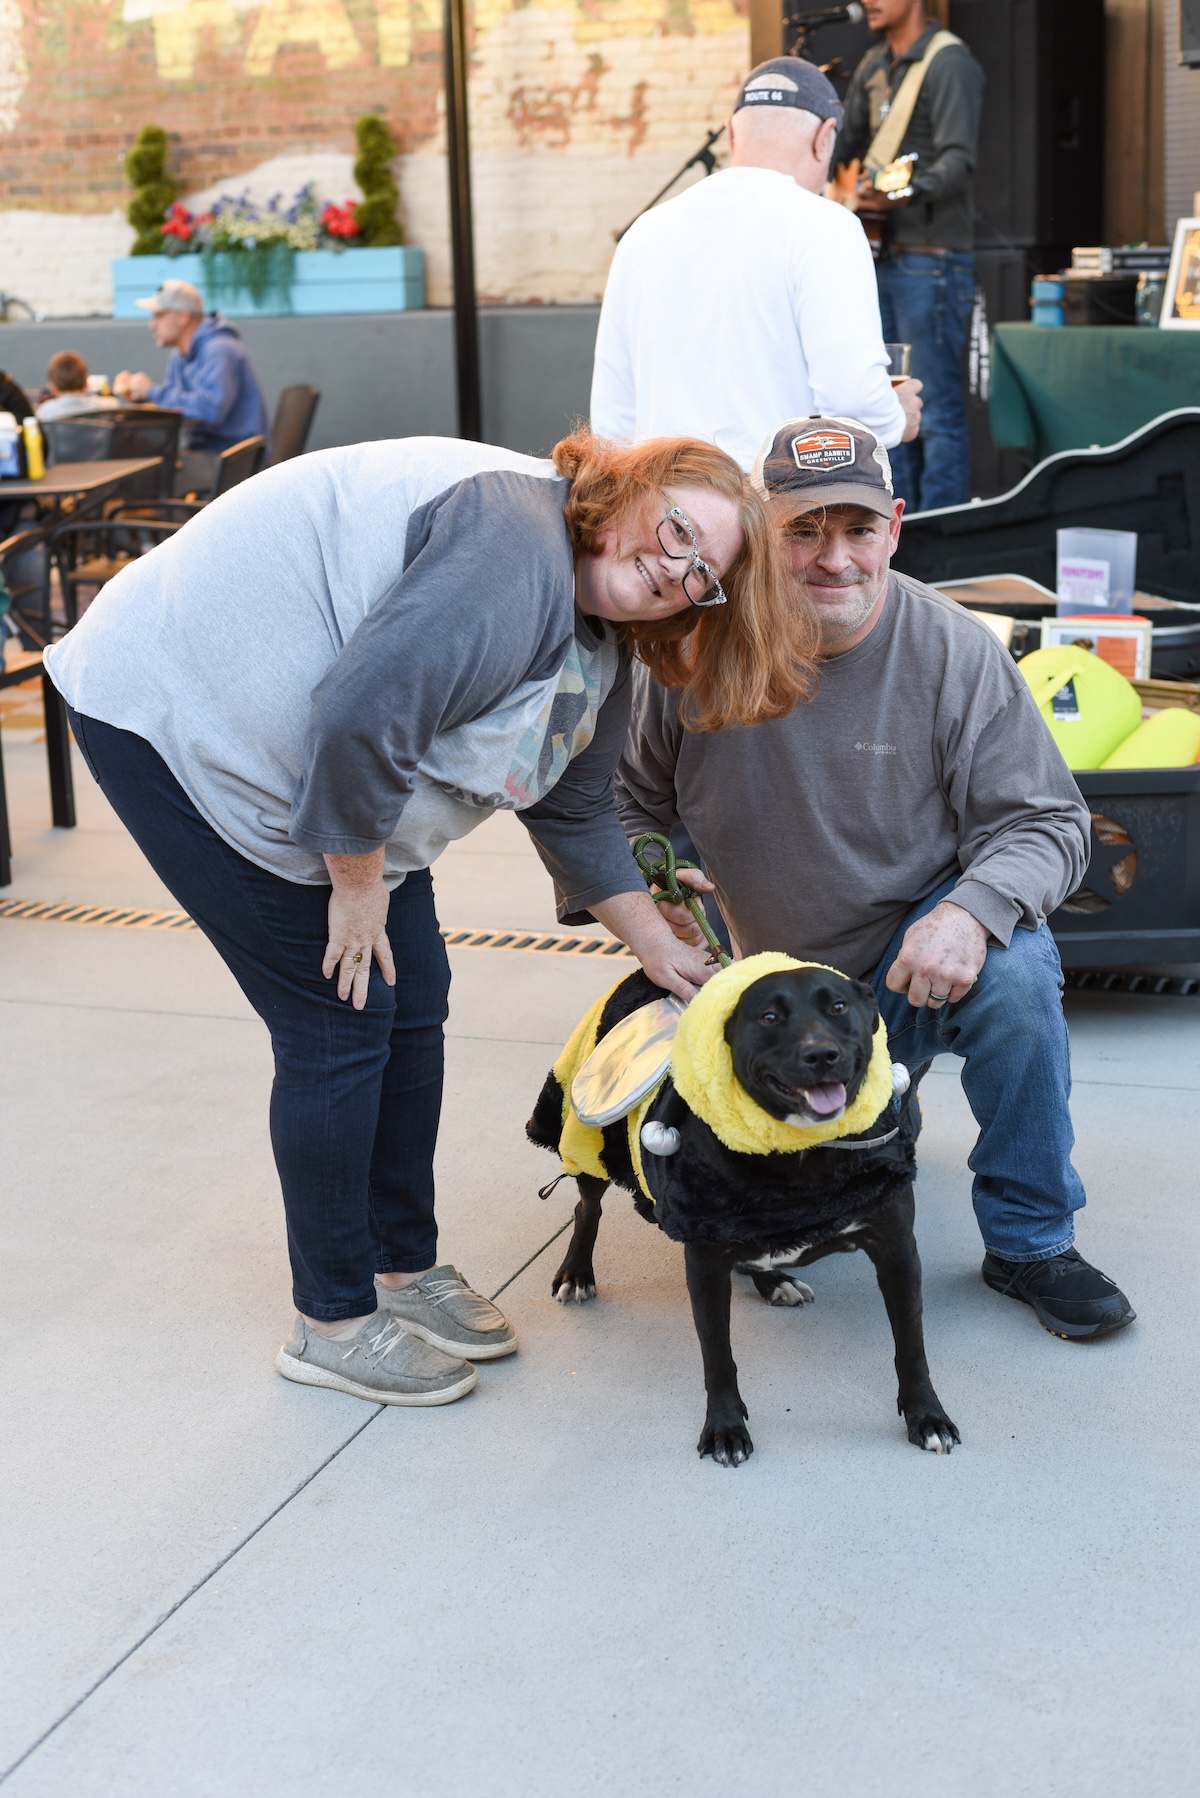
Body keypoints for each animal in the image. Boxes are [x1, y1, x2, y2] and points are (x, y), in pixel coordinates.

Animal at [527, 957, 959, 1466]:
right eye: (769, 1017)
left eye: (838, 1007)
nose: (821, 1055)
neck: (804, 1156)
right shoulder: (706, 1261)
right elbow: (718, 1355)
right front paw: (725, 1428)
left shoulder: (896, 1249)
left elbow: (911, 1345)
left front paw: (926, 1416)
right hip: (589, 1134)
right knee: (586, 1207)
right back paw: (576, 1272)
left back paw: (773, 1279)